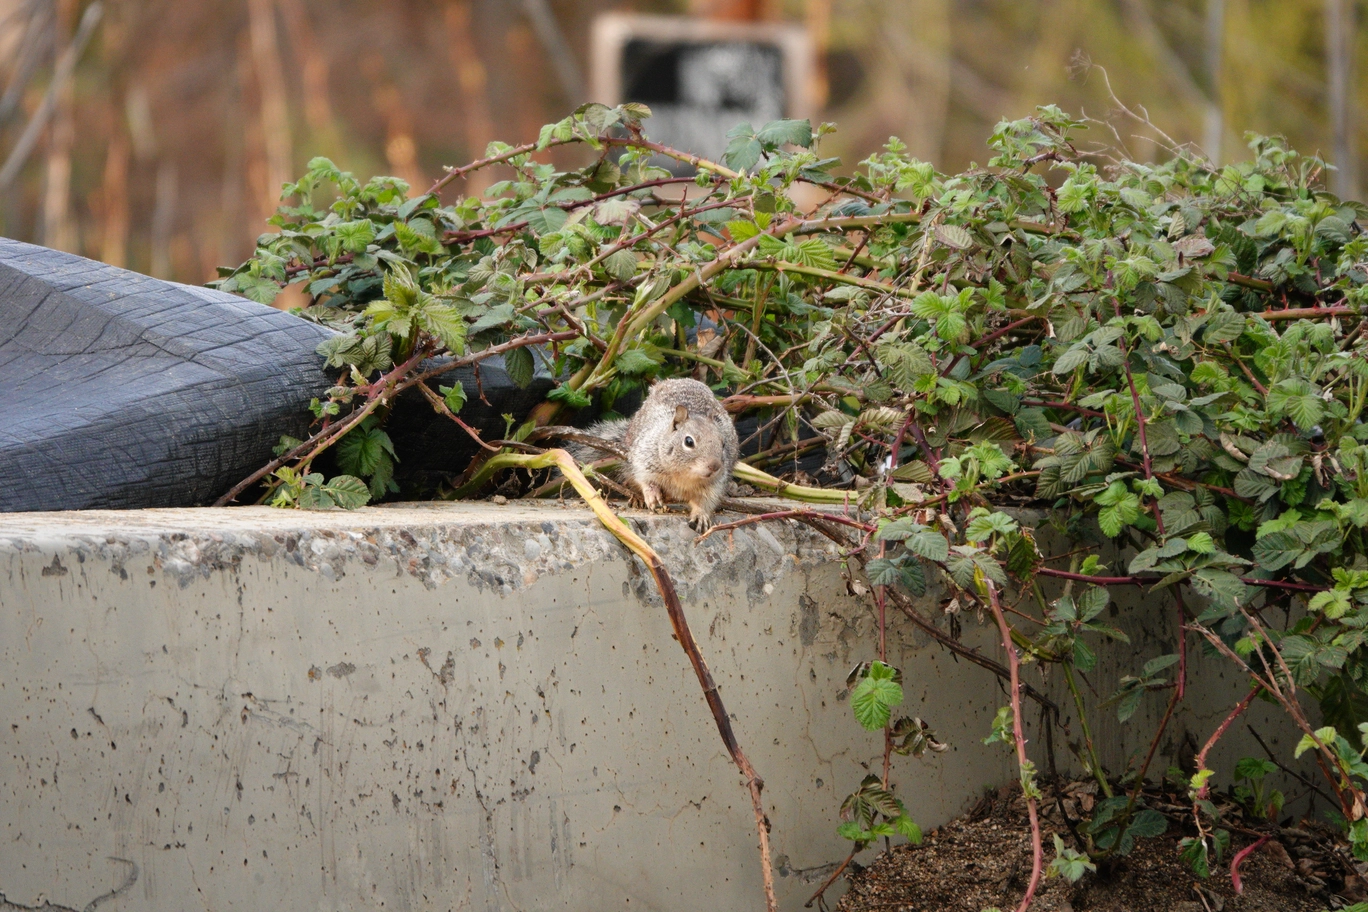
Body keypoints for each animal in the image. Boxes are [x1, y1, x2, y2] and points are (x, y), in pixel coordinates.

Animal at [576, 378, 739, 531]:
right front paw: (652, 495)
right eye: (688, 441)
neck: (684, 475)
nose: (715, 466)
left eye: (723, 444)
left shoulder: (714, 485)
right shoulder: (644, 459)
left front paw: (701, 515)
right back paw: (637, 499)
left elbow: (705, 501)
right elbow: (645, 480)